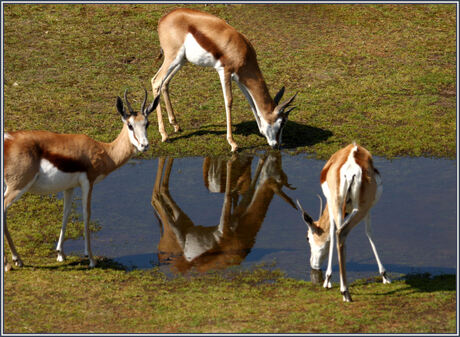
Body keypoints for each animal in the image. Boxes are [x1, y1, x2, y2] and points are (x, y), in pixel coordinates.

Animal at [2, 89, 158, 270]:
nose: (144, 145)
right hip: (18, 186)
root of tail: (8, 140)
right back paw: (10, 262)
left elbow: (66, 213)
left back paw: (17, 259)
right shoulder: (88, 183)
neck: (105, 152)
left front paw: (60, 254)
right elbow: (86, 214)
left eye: (147, 124)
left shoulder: (69, 187)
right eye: (130, 125)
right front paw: (91, 258)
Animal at [149, 7, 296, 151]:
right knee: (156, 81)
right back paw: (164, 135)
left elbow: (251, 102)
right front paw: (233, 143)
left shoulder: (240, 78)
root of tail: (163, 18)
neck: (242, 51)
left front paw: (260, 129)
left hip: (181, 61)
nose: (277, 145)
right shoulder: (225, 71)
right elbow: (229, 101)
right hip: (172, 58)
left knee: (165, 83)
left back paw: (175, 125)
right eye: (282, 123)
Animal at [153, 154, 296, 272]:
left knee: (163, 191)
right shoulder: (224, 228)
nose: (276, 157)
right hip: (176, 232)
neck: (241, 237)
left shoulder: (237, 215)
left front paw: (261, 158)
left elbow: (249, 192)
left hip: (183, 222)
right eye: (280, 177)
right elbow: (228, 195)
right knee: (156, 197)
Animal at [296, 143, 390, 300]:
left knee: (340, 234)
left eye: (307, 238)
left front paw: (327, 280)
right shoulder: (366, 208)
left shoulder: (333, 204)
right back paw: (345, 291)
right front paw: (384, 275)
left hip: (342, 205)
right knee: (341, 233)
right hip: (358, 208)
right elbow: (368, 233)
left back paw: (344, 290)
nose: (313, 264)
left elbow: (333, 234)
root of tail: (351, 169)